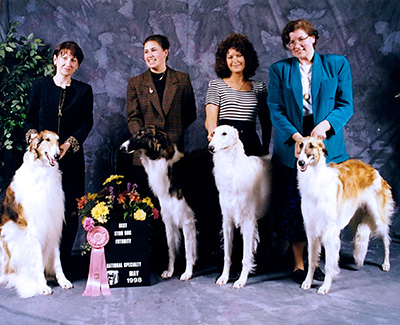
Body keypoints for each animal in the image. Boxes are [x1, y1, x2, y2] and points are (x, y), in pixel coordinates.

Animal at [0, 130, 73, 298]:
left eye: (58, 140)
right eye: (47, 140)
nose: (57, 155)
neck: (43, 170)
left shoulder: (53, 225)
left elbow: (57, 261)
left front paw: (63, 281)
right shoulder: (34, 230)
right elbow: (38, 262)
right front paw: (42, 286)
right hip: (8, 237)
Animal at [120, 125, 198, 280]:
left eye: (141, 134)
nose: (121, 148)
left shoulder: (187, 219)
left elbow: (188, 251)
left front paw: (187, 273)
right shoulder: (168, 219)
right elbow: (170, 250)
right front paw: (169, 271)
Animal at [208, 125, 270, 288]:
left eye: (224, 133)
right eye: (213, 133)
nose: (210, 147)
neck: (232, 169)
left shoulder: (248, 221)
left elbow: (245, 257)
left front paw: (241, 280)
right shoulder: (227, 220)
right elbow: (227, 255)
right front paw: (224, 277)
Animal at [296, 137, 394, 294]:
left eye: (311, 146)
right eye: (300, 145)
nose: (301, 162)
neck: (316, 180)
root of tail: (373, 170)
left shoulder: (329, 231)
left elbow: (329, 264)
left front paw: (325, 287)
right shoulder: (311, 230)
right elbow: (311, 261)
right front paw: (307, 282)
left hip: (378, 217)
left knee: (386, 239)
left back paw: (386, 263)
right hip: (356, 220)